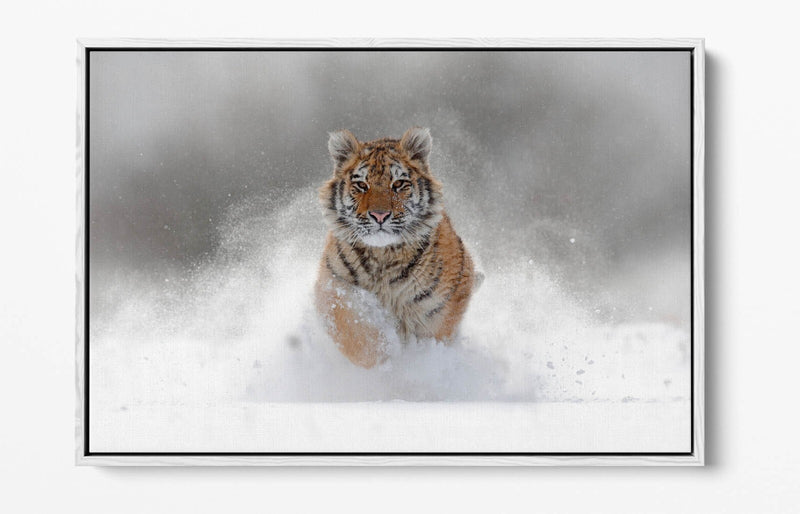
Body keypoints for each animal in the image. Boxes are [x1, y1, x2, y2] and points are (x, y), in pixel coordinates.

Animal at [315, 127, 480, 368]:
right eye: (361, 185)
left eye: (399, 184)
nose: (379, 215)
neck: (383, 256)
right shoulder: (333, 286)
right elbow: (355, 332)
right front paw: (384, 358)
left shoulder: (442, 304)